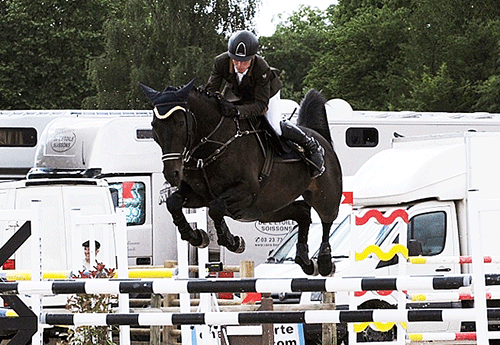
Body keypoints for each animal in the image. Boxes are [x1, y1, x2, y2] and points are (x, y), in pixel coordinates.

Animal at [141, 79, 344, 276]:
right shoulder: (198, 195)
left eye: (181, 124)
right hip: (268, 209)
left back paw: (324, 261)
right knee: (302, 212)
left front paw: (232, 241)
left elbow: (216, 208)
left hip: (324, 195)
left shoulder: (245, 192)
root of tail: (321, 139)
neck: (211, 146)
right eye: (154, 126)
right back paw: (305, 260)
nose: (172, 174)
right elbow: (174, 203)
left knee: (327, 219)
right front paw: (197, 237)